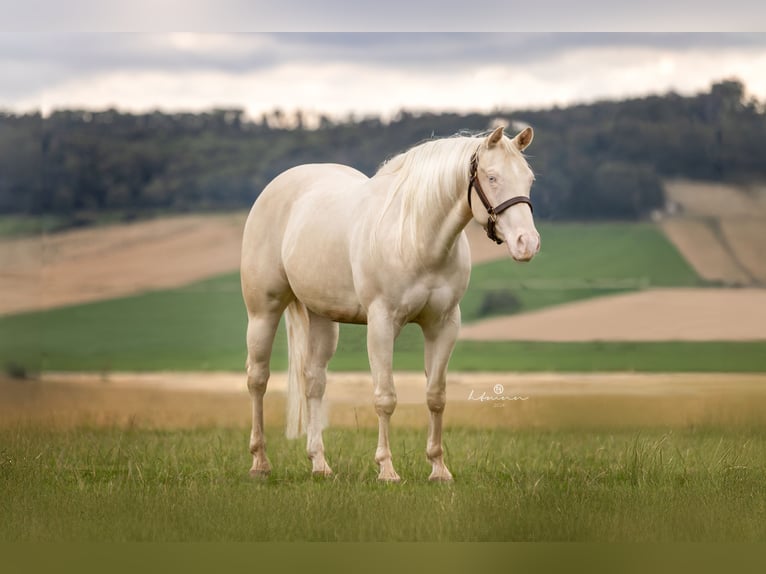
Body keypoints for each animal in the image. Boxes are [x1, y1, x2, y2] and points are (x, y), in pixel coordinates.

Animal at [240, 125, 540, 482]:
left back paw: (320, 463)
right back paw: (259, 462)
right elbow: (385, 397)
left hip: (322, 317)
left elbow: (435, 396)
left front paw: (439, 468)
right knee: (258, 379)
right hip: (263, 311)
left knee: (314, 381)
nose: (527, 243)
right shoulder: (382, 323)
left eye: (528, 178)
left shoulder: (443, 325)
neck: (416, 237)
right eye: (492, 177)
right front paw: (386, 469)